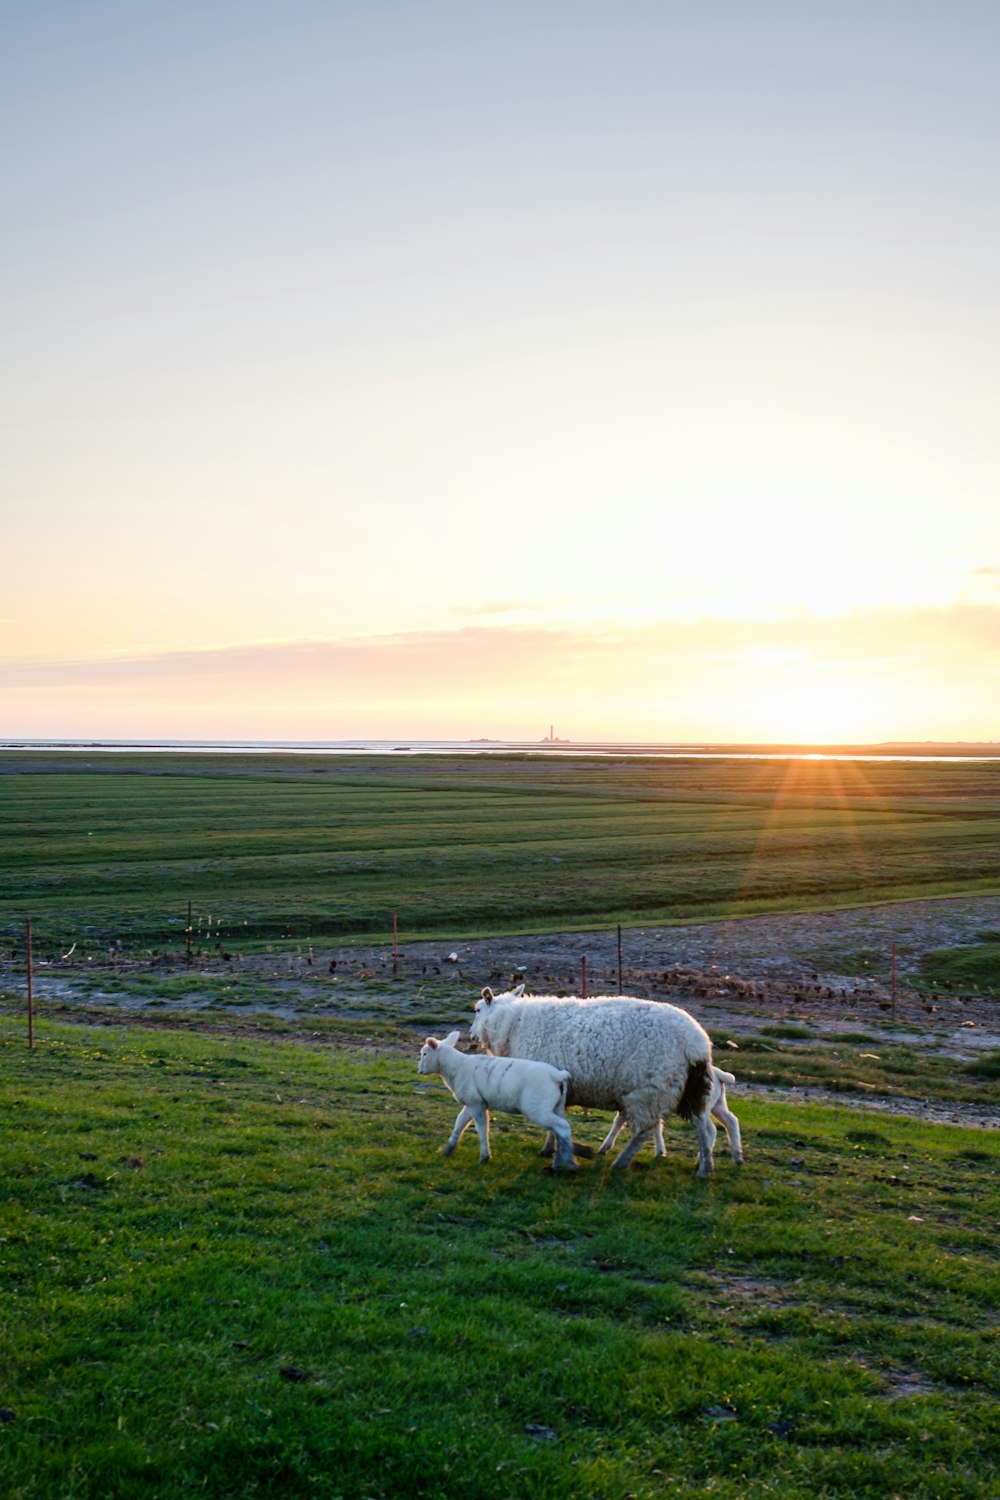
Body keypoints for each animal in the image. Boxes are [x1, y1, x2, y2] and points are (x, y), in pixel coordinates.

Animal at [416, 1032, 578, 1170]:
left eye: (425, 1054)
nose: (419, 1071)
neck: (456, 1066)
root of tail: (558, 1075)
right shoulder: (472, 1102)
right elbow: (459, 1123)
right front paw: (447, 1149)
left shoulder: (477, 1105)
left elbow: (482, 1129)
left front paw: (484, 1157)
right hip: (557, 1106)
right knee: (559, 1131)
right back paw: (558, 1163)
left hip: (537, 1108)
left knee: (562, 1127)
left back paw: (569, 1164)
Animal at [470, 990, 719, 1176]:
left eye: (477, 1010)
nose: (471, 1035)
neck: (513, 1025)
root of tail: (697, 1043)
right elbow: (556, 1123)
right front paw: (551, 1149)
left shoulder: (545, 1084)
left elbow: (554, 1123)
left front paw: (550, 1149)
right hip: (691, 1090)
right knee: (700, 1125)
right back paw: (705, 1168)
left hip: (647, 1092)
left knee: (645, 1131)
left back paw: (621, 1162)